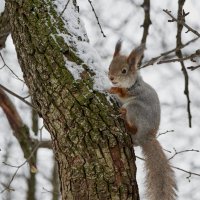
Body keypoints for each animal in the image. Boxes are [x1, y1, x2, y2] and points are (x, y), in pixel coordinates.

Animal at [108, 40, 177, 200]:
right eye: (109, 66)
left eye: (124, 71)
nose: (111, 78)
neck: (133, 82)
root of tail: (145, 137)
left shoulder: (136, 90)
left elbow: (124, 94)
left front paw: (114, 90)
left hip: (135, 109)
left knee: (132, 123)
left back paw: (124, 116)